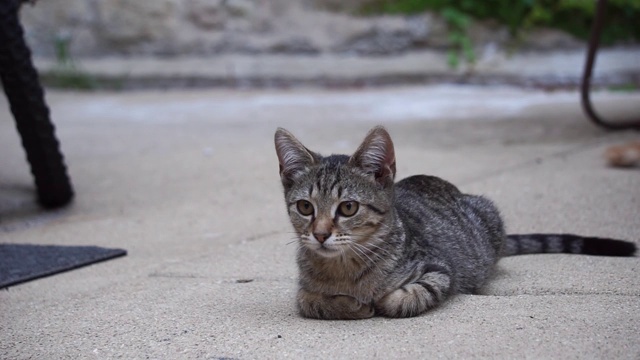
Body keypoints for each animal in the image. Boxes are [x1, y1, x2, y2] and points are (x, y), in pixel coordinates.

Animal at [274, 126, 636, 320]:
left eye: (348, 207)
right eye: (305, 207)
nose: (320, 234)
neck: (345, 269)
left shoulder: (439, 270)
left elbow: (410, 295)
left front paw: (381, 300)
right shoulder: (303, 289)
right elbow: (310, 302)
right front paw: (349, 304)